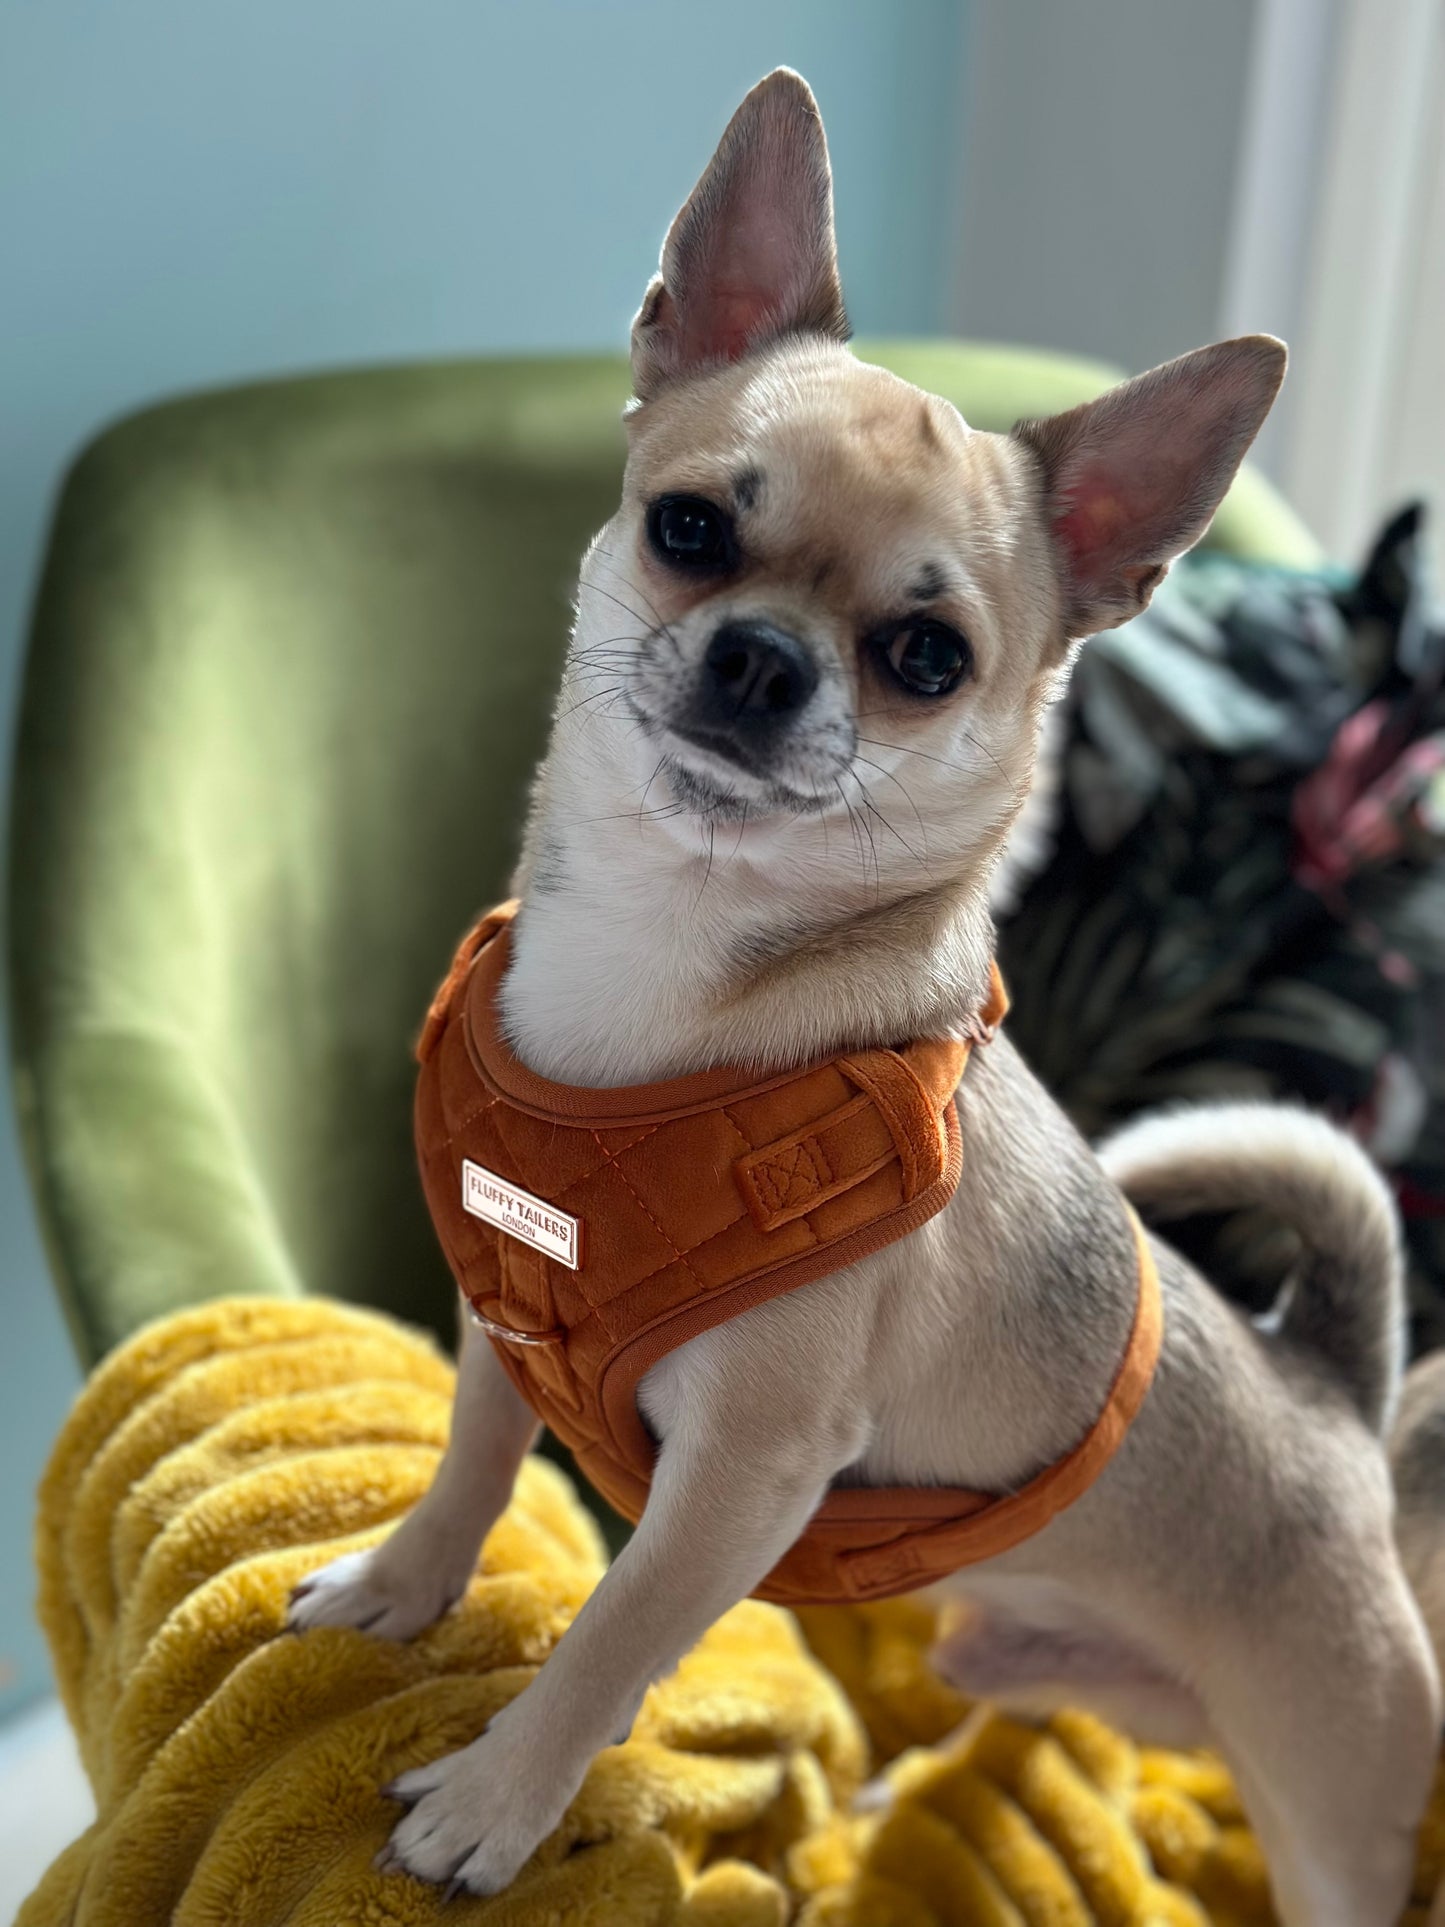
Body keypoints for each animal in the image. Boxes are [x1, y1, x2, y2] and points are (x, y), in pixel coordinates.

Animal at [289, 67, 1441, 1919]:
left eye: (926, 659)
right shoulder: (504, 1321)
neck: (679, 963)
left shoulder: (738, 1481)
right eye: (690, 528)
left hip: (1332, 1812)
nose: (763, 657)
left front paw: (496, 1801)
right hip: (1039, 1657)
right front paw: (402, 1587)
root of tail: (1334, 1397)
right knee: (1022, 1714)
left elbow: (610, 1639)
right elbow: (472, 1463)